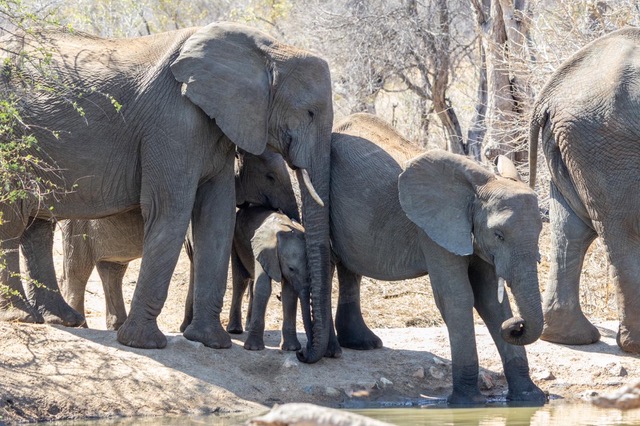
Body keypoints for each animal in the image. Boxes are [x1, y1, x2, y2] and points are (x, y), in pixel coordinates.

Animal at [61, 148, 299, 330]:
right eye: (270, 177)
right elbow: (197, 252)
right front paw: (187, 329)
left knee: (112, 270)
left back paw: (117, 326)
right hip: (76, 221)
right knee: (78, 269)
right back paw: (79, 324)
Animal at [226, 205, 311, 351]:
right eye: (291, 268)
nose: (303, 352)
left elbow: (289, 293)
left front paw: (291, 348)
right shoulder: (265, 250)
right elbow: (263, 287)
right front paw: (253, 348)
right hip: (236, 242)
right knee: (240, 281)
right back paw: (235, 330)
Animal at [328, 113, 546, 404]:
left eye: (540, 231)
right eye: (498, 235)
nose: (516, 326)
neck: (479, 186)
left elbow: (491, 300)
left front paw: (530, 398)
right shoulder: (433, 232)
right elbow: (457, 297)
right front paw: (468, 402)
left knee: (349, 269)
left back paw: (364, 344)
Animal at [529, 27, 640, 354]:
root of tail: (550, 94)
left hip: (574, 143)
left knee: (570, 228)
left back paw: (567, 337)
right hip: (608, 144)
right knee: (624, 229)